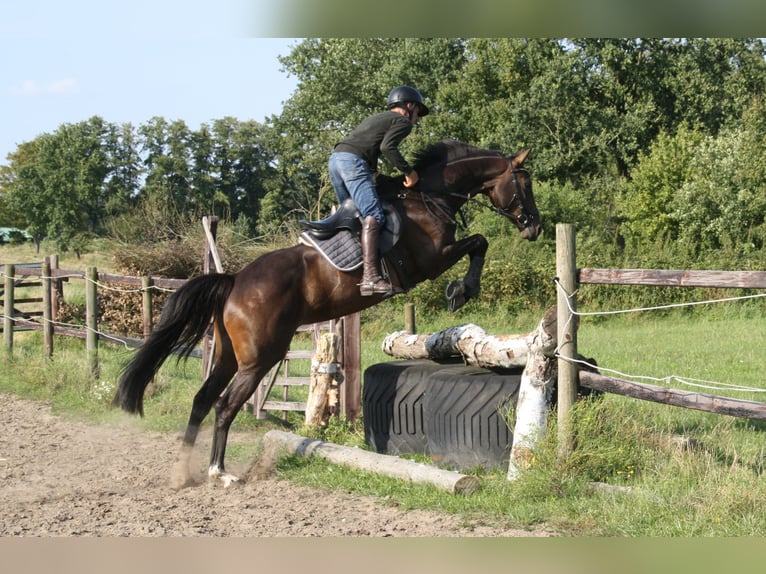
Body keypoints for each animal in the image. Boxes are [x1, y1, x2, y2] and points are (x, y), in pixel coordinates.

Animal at [114, 141, 544, 490]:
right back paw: (219, 473)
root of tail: (234, 281)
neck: (429, 196)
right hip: (258, 359)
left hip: (226, 355)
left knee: (202, 400)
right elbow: (479, 242)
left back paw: (183, 472)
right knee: (223, 406)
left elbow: (478, 243)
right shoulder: (431, 260)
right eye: (525, 184)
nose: (535, 228)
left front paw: (463, 289)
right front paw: (463, 290)